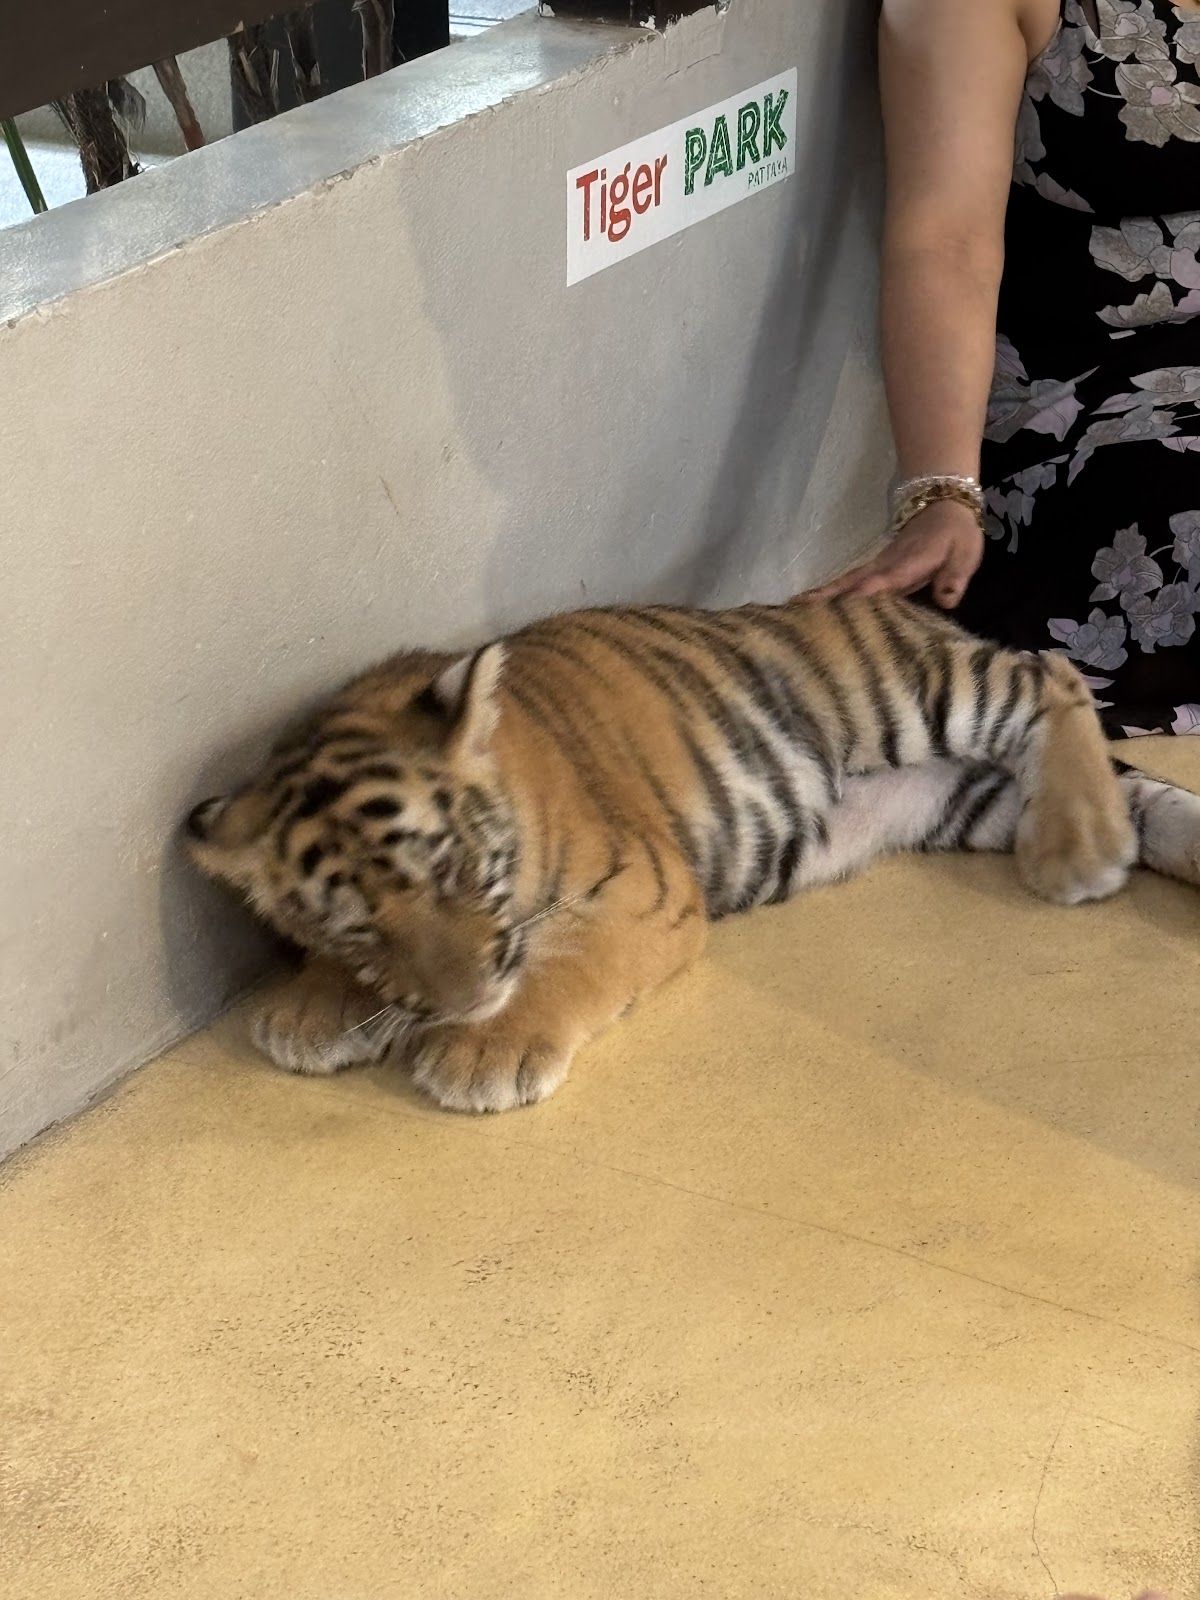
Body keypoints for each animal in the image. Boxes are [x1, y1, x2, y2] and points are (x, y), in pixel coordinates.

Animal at [185, 593, 1200, 1113]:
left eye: (458, 873)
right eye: (359, 931)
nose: (465, 1001)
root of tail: (892, 602)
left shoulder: (645, 888)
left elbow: (569, 963)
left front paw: (484, 1051)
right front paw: (312, 1008)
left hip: (910, 693)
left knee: (1051, 671)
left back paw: (1081, 848)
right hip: (962, 793)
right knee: (1144, 797)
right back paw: (1124, 837)